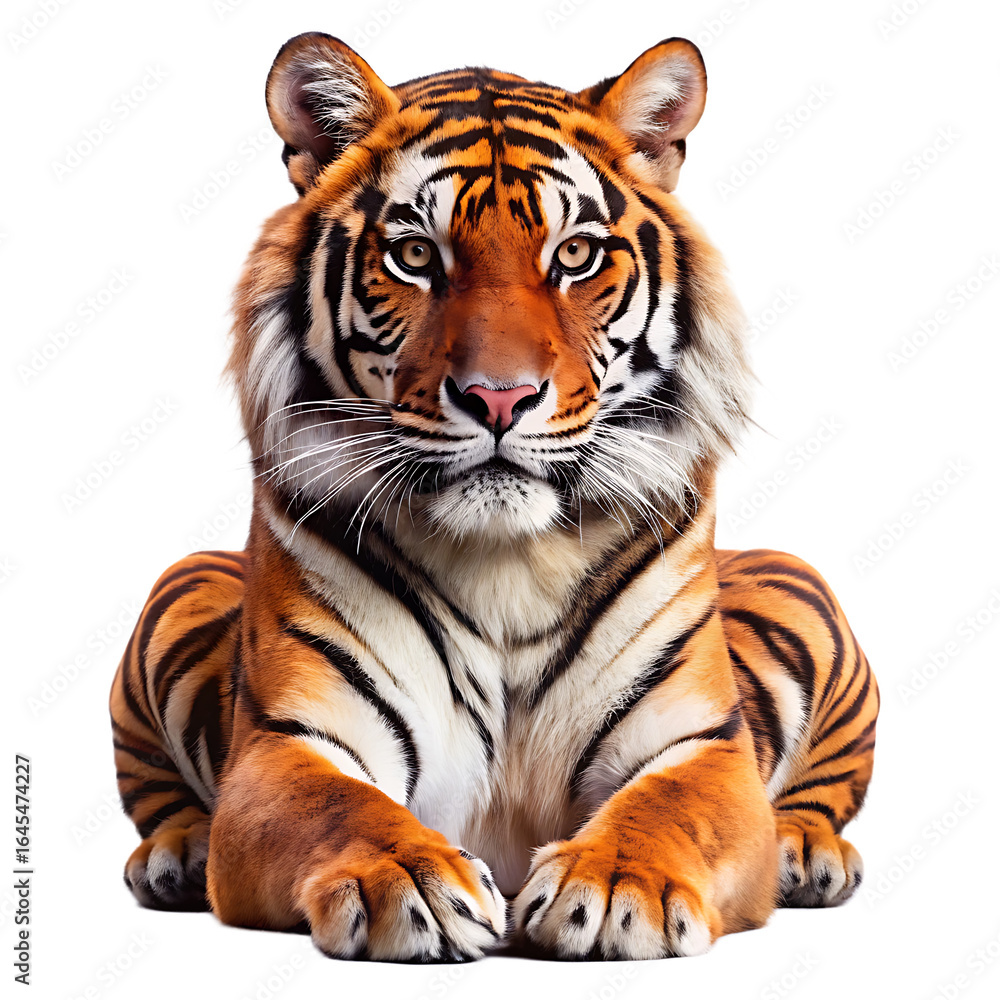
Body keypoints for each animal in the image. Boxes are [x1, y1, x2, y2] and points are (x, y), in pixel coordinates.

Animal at [109, 33, 878, 962]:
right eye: (414, 256)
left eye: (575, 256)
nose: (500, 397)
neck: (510, 562)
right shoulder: (289, 743)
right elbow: (343, 807)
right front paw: (412, 881)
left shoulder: (699, 744)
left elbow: (665, 810)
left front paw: (615, 886)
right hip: (175, 593)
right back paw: (176, 855)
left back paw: (808, 851)